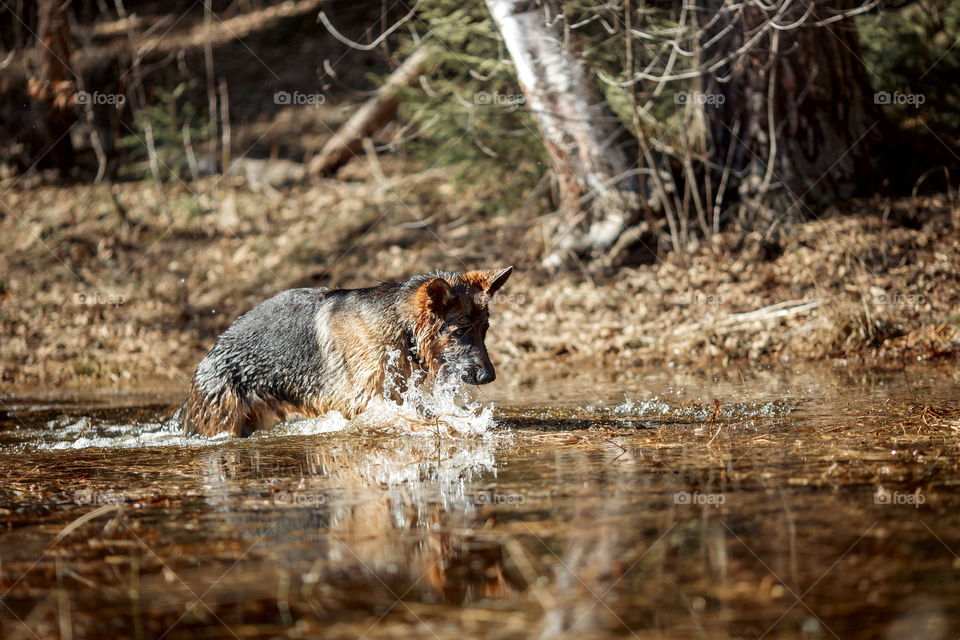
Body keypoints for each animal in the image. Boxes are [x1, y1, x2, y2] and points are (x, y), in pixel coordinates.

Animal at [178, 268, 510, 438]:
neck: (401, 325)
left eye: (484, 330)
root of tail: (210, 355)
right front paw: (454, 426)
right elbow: (419, 421)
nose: (490, 376)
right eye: (460, 331)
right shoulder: (365, 401)